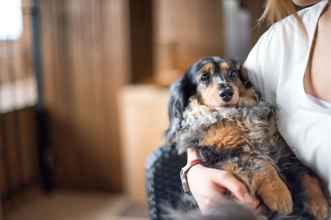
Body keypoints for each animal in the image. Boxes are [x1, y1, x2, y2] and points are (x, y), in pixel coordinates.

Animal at [166, 56, 330, 220]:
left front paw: (319, 204)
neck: (237, 118)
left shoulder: (281, 149)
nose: (227, 92)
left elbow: (305, 172)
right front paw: (279, 194)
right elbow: (261, 164)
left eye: (232, 73)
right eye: (204, 77)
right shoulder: (223, 153)